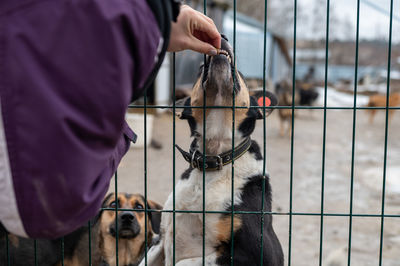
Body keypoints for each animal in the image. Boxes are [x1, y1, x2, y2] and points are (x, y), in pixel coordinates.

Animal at [142, 35, 282, 266]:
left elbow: (181, 263)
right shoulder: (160, 240)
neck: (213, 161)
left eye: (241, 74)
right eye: (200, 69)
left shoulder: (256, 253)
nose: (223, 36)